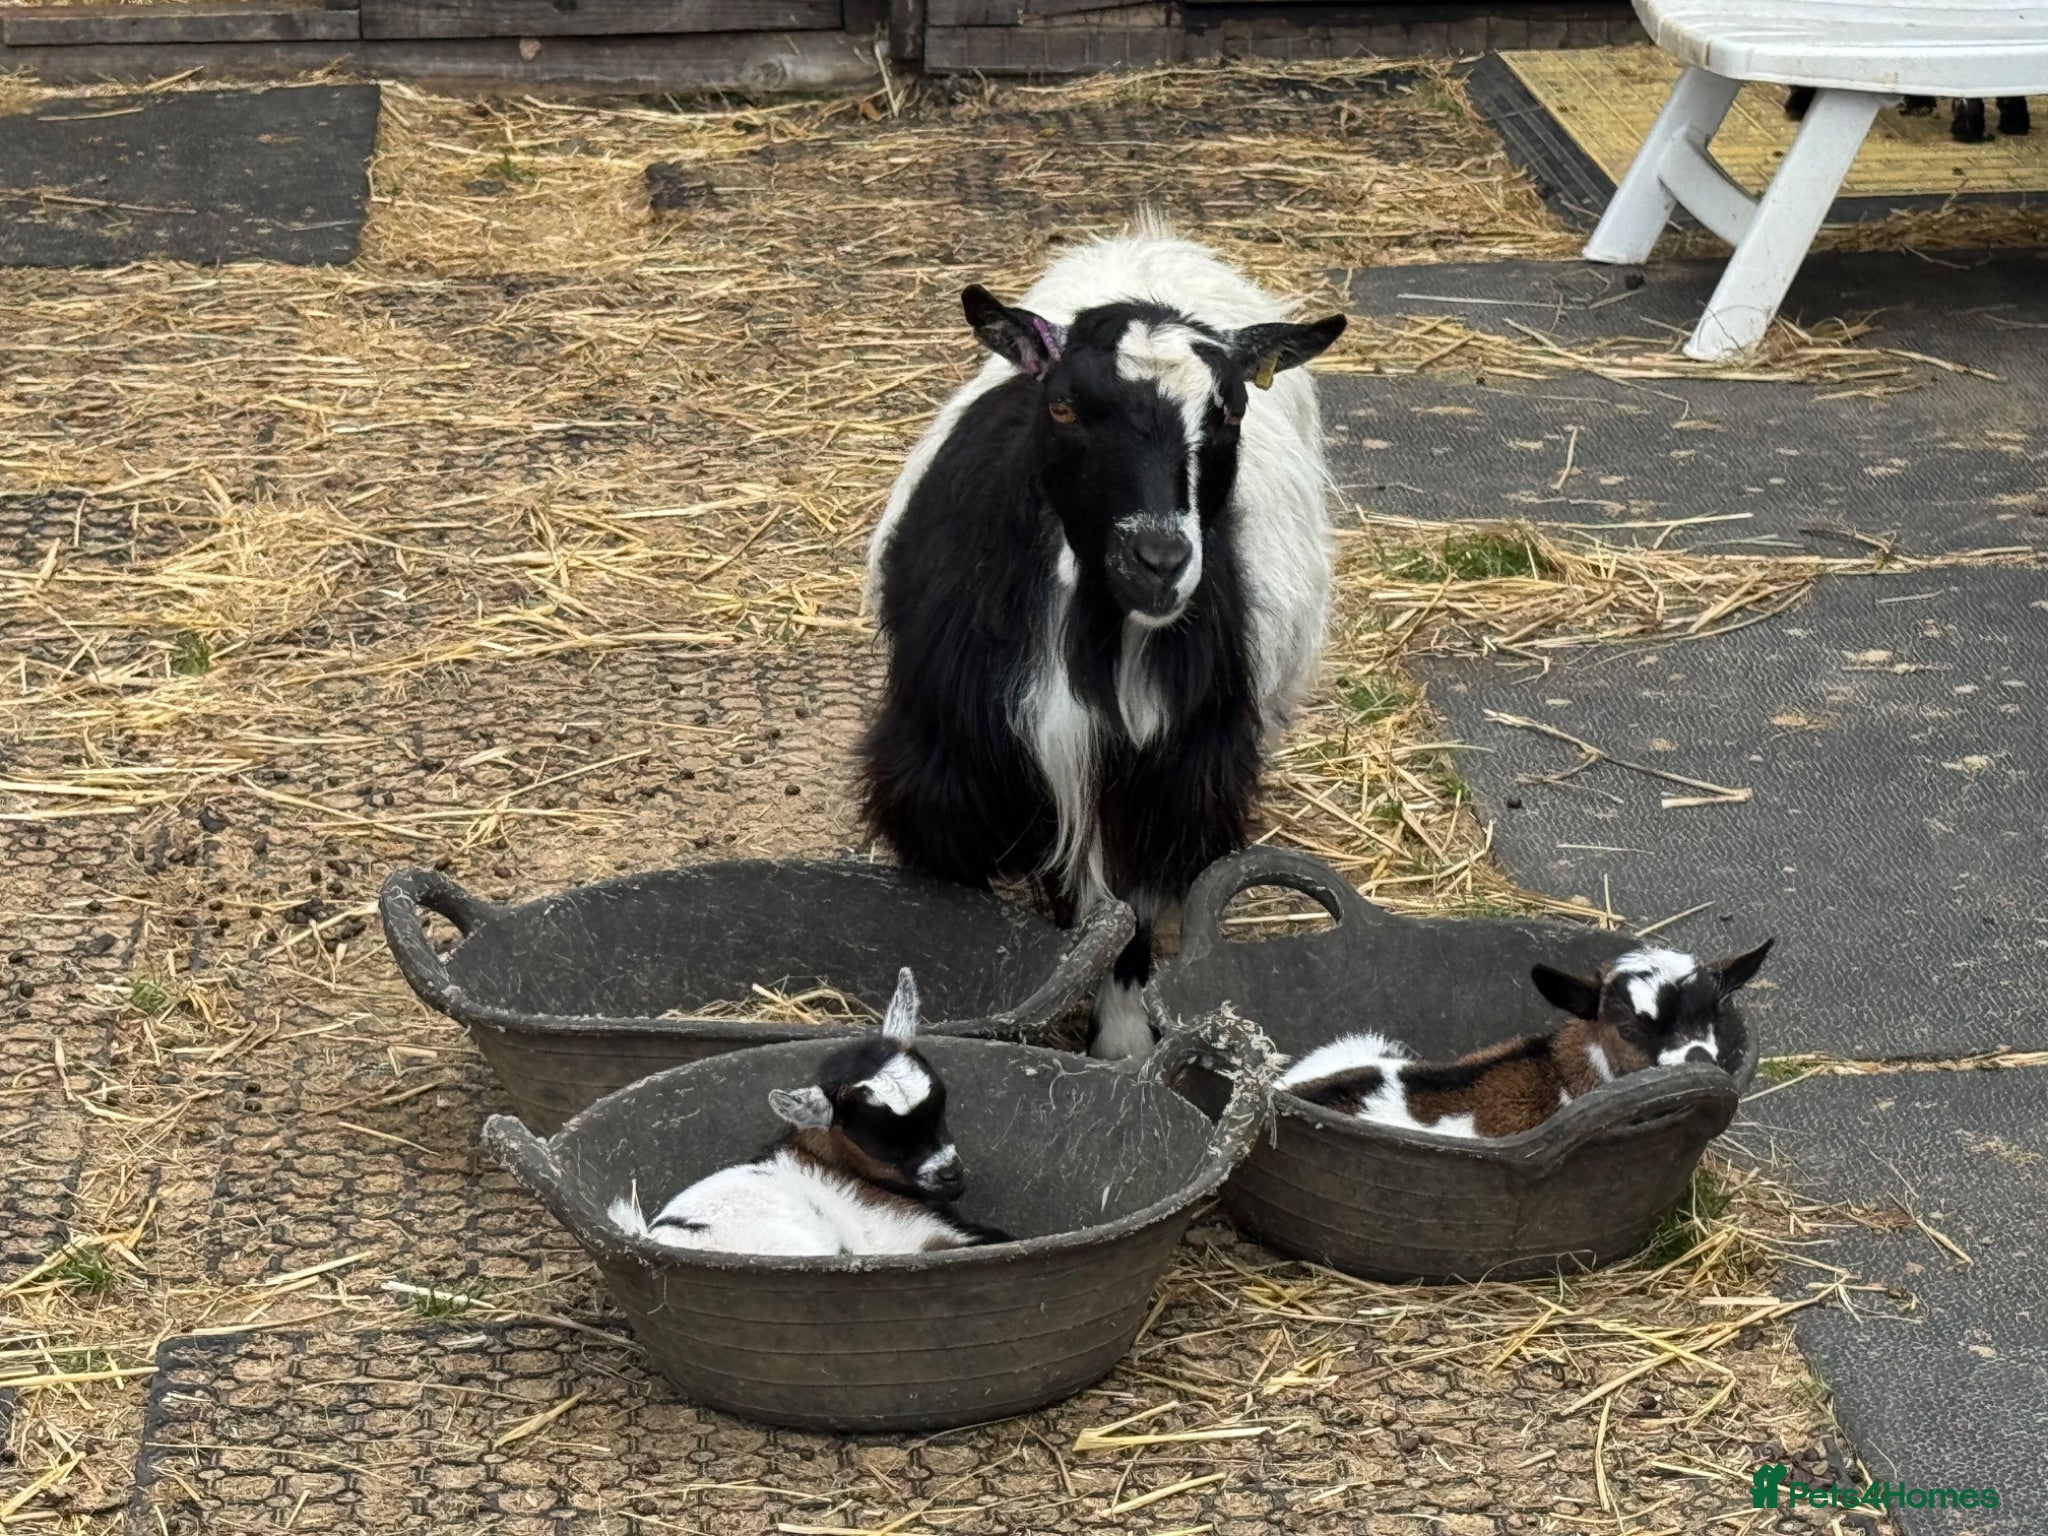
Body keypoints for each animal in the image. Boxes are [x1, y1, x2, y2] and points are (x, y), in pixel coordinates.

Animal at [862, 221, 1347, 1060]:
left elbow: (1128, 914)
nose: (1158, 560)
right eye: (1062, 407)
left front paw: (1121, 1044)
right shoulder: (946, 772)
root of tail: (1150, 246)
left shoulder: (1168, 779)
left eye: (1228, 413)